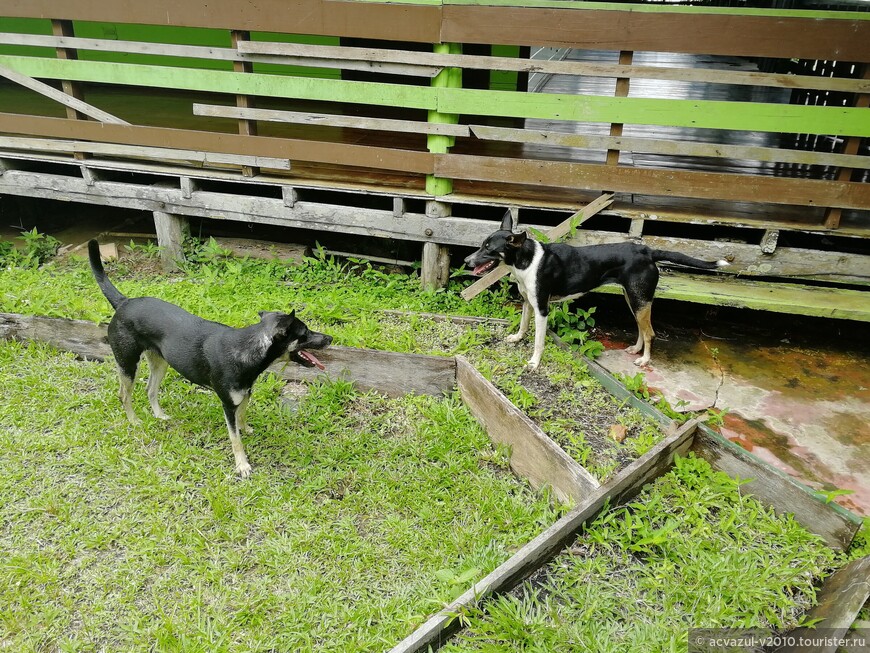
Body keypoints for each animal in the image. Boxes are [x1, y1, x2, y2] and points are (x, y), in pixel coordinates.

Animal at [89, 239, 334, 474]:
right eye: (305, 333)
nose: (330, 338)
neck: (247, 349)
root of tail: (124, 302)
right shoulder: (228, 404)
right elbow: (235, 439)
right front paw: (242, 465)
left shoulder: (244, 395)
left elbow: (242, 418)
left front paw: (246, 429)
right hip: (128, 363)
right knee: (123, 394)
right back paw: (134, 421)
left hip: (160, 362)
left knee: (150, 389)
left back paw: (159, 416)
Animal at [464, 213, 728, 370]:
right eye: (482, 245)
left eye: (489, 248)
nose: (467, 261)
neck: (525, 260)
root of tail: (648, 252)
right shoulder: (529, 302)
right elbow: (522, 325)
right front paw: (517, 338)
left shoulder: (542, 309)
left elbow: (538, 341)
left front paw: (534, 362)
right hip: (634, 298)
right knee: (641, 328)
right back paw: (635, 349)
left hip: (639, 298)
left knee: (650, 332)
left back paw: (644, 359)